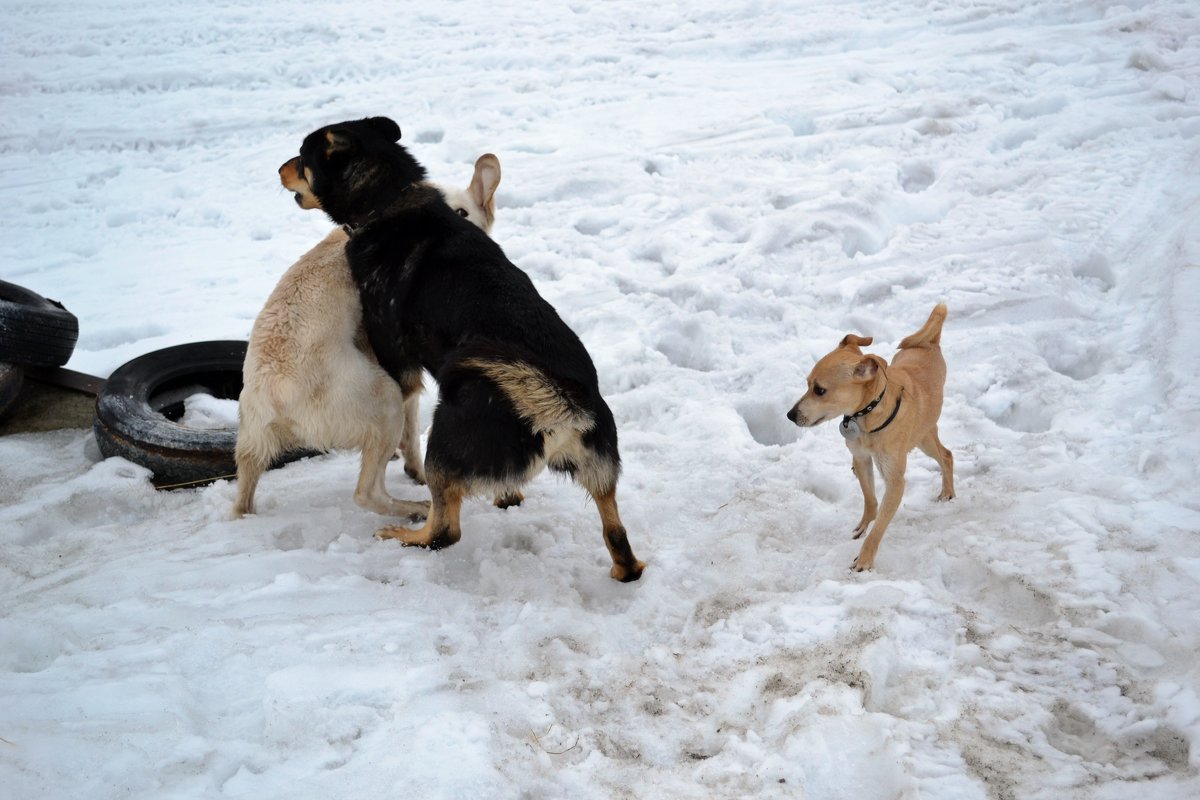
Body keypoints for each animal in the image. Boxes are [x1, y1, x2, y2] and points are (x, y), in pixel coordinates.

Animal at [234, 154, 501, 520]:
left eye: (462, 212)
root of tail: (270, 395)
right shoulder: (404, 374)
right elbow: (412, 430)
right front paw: (416, 473)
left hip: (252, 442)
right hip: (382, 398)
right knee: (367, 493)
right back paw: (414, 508)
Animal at [279, 117, 643, 582]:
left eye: (302, 157)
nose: (279, 168)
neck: (391, 199)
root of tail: (562, 409)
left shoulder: (396, 359)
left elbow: (404, 417)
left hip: (444, 437)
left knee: (444, 531)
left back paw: (405, 534)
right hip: (601, 471)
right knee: (619, 539)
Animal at [787, 303, 955, 573]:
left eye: (820, 390)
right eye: (807, 384)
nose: (790, 415)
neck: (866, 415)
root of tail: (929, 344)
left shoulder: (895, 480)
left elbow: (880, 527)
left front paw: (865, 559)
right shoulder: (861, 458)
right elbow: (869, 498)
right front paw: (864, 525)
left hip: (924, 437)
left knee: (946, 455)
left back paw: (947, 492)